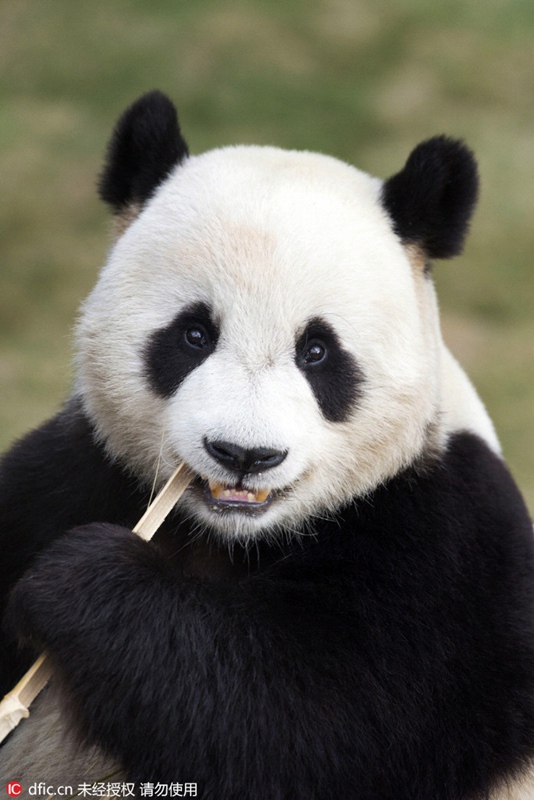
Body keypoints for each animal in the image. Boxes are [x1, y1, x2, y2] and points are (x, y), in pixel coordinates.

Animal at [1, 90, 534, 799]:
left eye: (318, 351)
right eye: (194, 334)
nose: (244, 455)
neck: (228, 536)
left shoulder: (450, 547)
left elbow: (315, 717)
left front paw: (81, 581)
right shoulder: (78, 470)